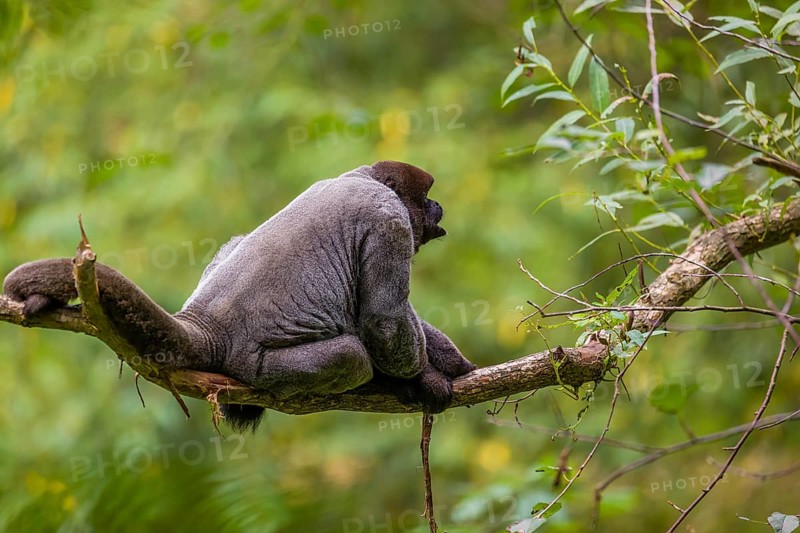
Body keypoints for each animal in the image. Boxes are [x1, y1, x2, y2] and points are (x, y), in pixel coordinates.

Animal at [3, 161, 477, 432]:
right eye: (426, 197)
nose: (437, 207)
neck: (361, 178)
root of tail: (206, 323)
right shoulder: (389, 218)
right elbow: (383, 319)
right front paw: (427, 376)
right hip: (260, 366)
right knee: (353, 355)